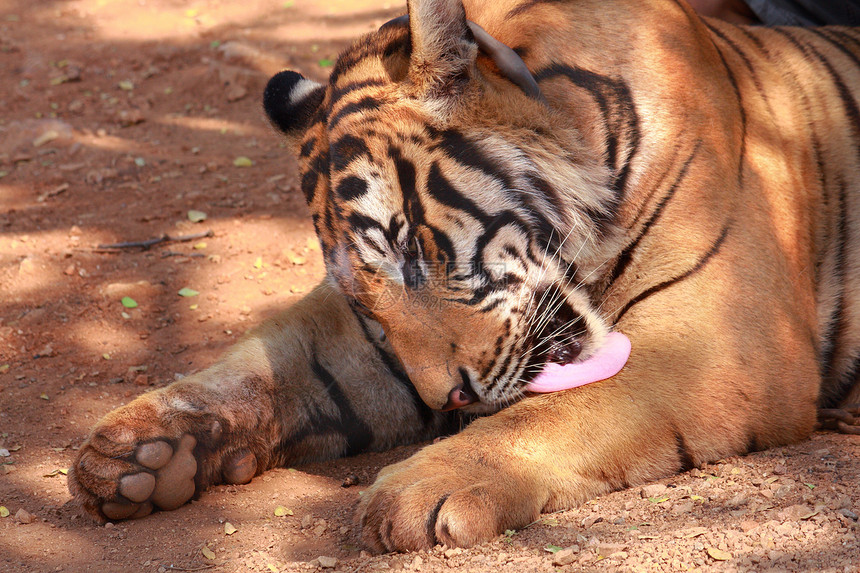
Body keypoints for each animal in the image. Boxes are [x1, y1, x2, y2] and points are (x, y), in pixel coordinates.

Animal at [69, 0, 860, 552]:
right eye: (365, 298)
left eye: (411, 250)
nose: (447, 398)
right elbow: (276, 364)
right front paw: (139, 451)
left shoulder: (722, 339)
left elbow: (561, 409)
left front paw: (424, 487)